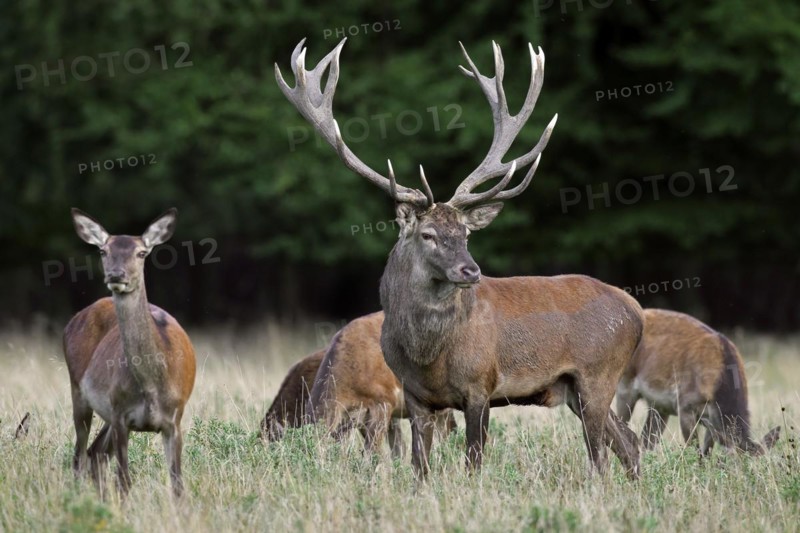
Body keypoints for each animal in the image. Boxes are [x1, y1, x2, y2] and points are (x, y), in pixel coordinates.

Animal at [63, 208, 196, 497]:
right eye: (103, 251)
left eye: (141, 253)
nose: (116, 275)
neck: (152, 385)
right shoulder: (121, 415)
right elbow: (124, 480)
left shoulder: (174, 419)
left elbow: (177, 483)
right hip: (79, 392)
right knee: (79, 455)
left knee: (95, 453)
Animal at [276, 38, 644, 479]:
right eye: (428, 235)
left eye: (466, 233)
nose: (471, 270)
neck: (428, 356)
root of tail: (635, 311)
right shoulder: (415, 397)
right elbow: (418, 466)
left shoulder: (480, 386)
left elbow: (473, 461)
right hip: (574, 388)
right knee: (628, 443)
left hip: (598, 374)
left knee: (602, 454)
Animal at [616, 308, 781, 456]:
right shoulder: (685, 405)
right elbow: (694, 450)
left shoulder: (712, 419)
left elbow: (706, 452)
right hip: (624, 386)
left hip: (659, 407)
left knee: (646, 440)